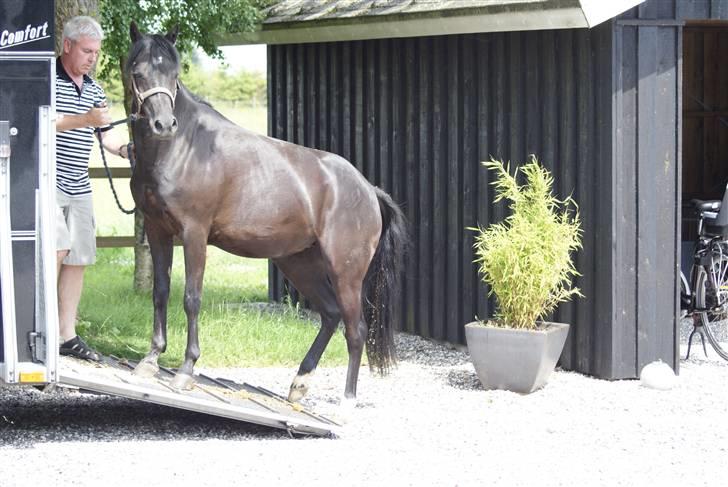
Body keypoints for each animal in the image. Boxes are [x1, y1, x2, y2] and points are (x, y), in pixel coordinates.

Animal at [125, 23, 408, 403]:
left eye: (174, 74)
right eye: (138, 72)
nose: (163, 124)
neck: (183, 147)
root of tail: (368, 189)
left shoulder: (194, 234)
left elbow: (191, 299)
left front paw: (185, 370)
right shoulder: (158, 232)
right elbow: (161, 292)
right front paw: (150, 360)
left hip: (345, 271)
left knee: (356, 328)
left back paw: (347, 400)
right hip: (299, 262)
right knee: (331, 315)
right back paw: (299, 384)